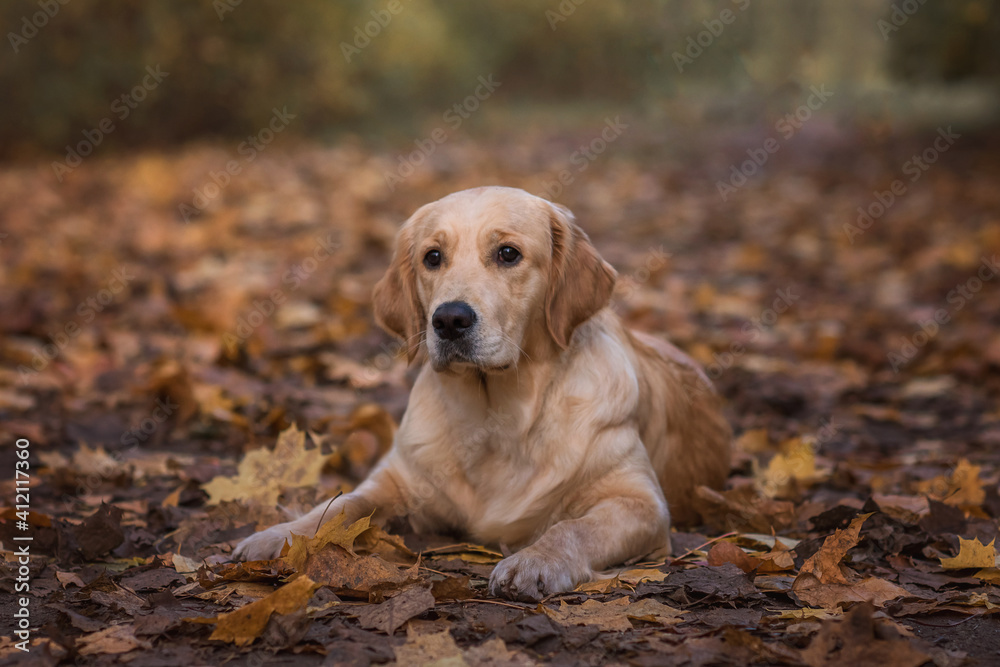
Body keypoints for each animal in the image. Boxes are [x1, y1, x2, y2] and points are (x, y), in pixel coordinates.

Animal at [236, 187, 736, 600]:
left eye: (508, 253)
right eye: (432, 257)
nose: (449, 319)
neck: (496, 416)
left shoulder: (641, 504)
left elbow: (572, 527)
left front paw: (534, 561)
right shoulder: (396, 481)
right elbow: (337, 505)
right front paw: (278, 535)